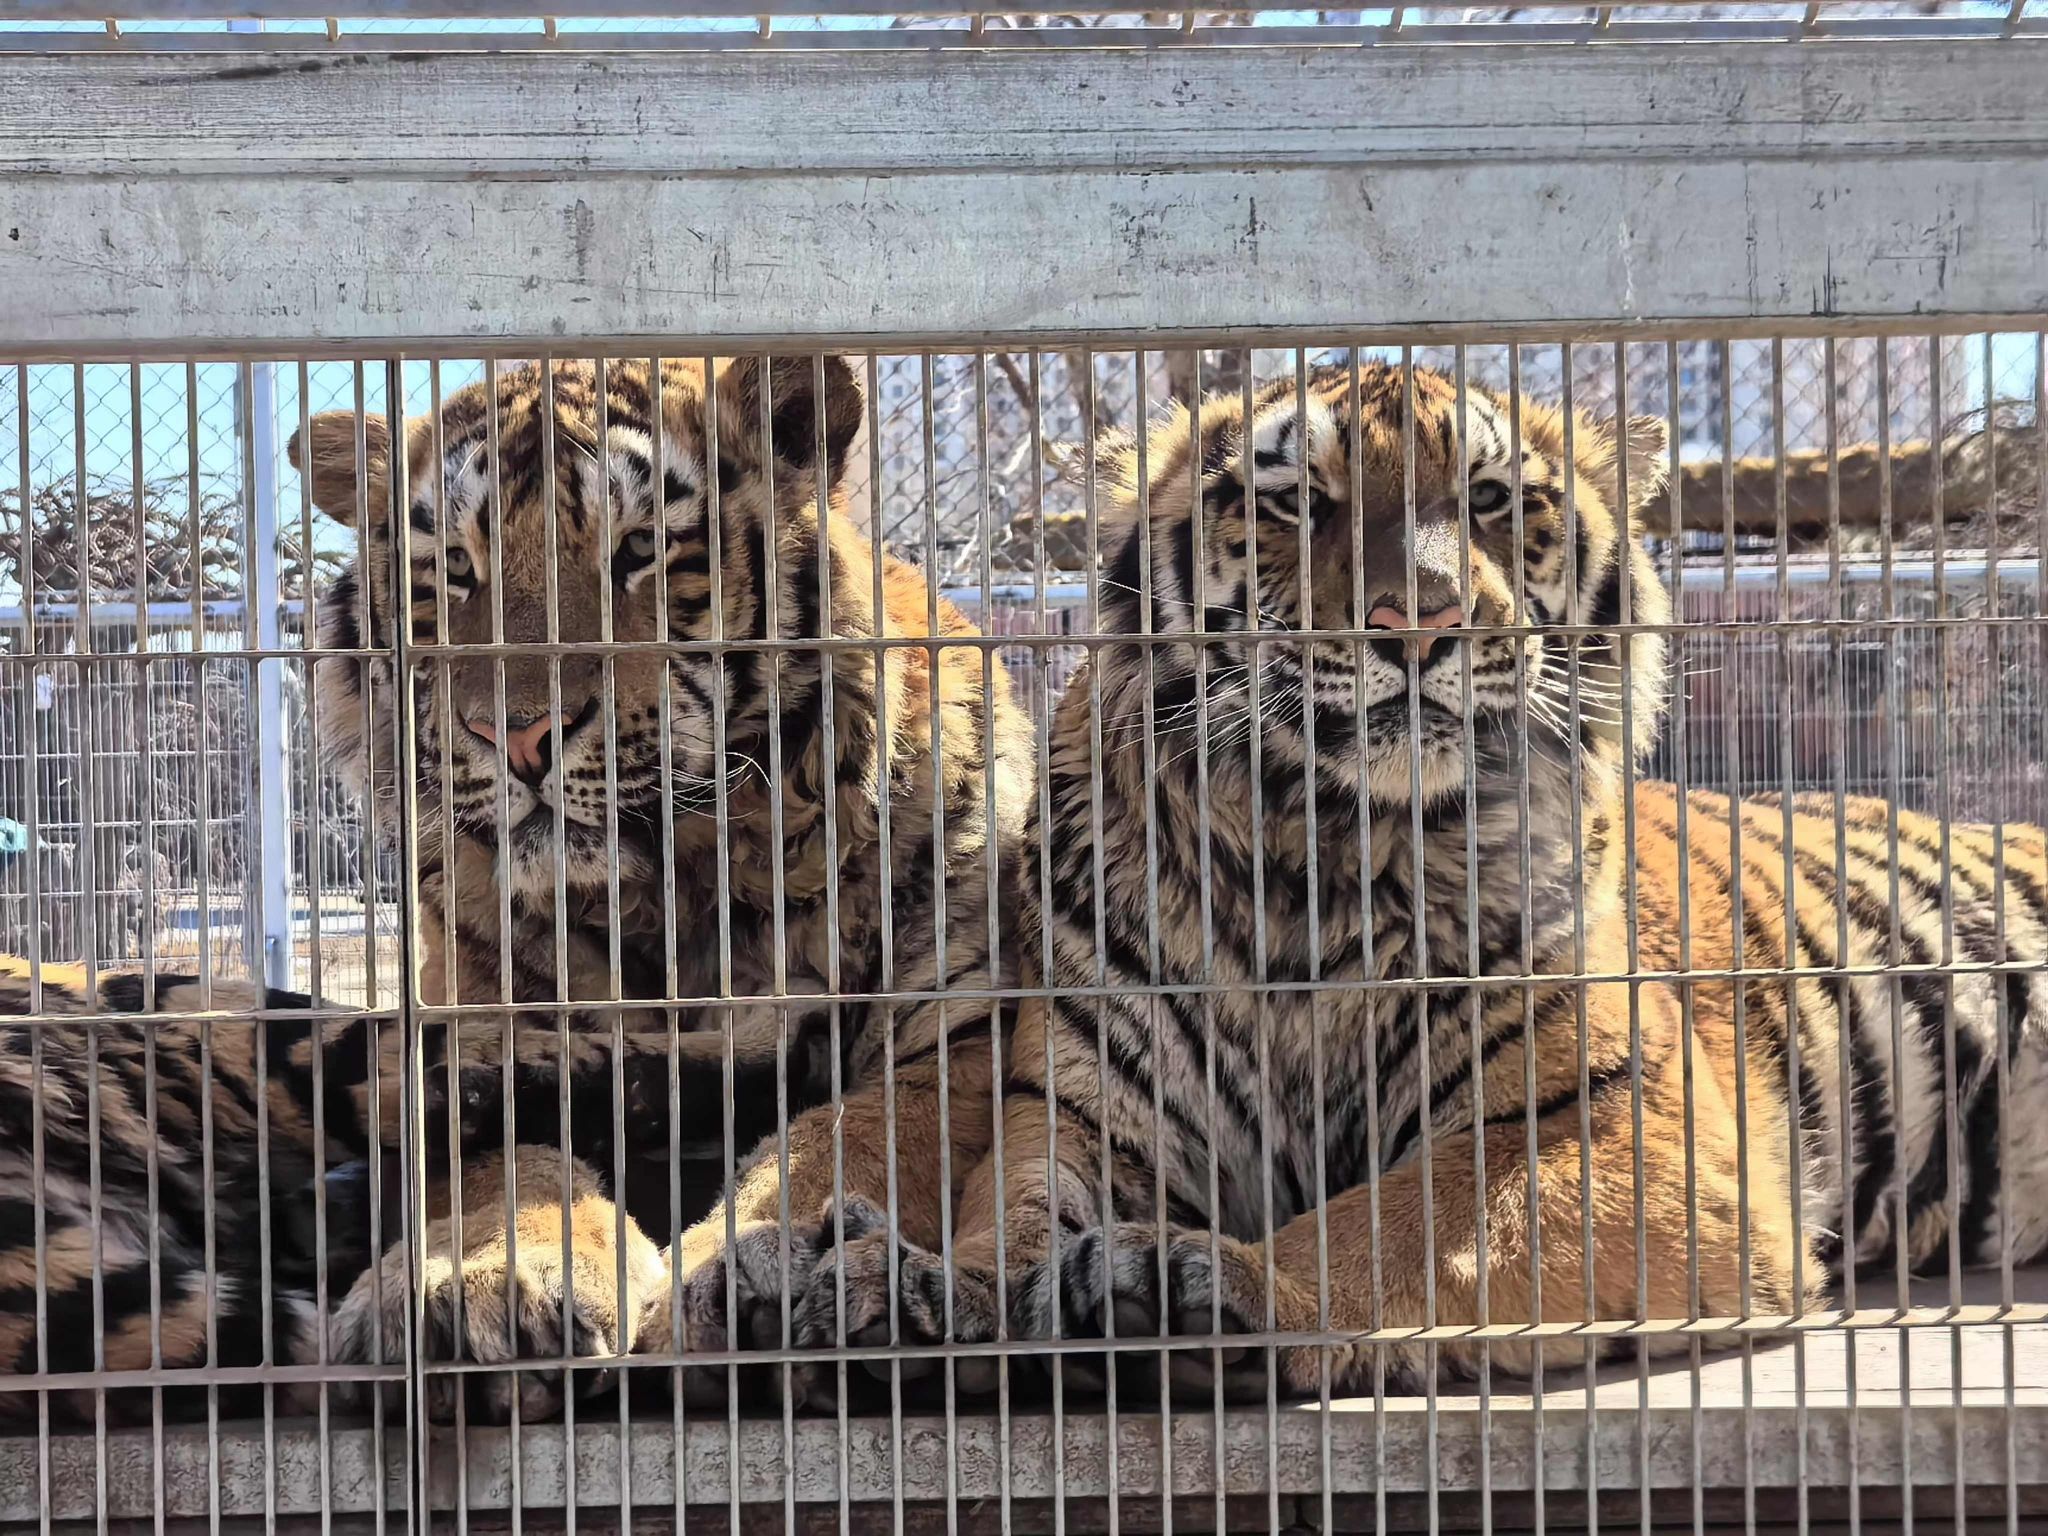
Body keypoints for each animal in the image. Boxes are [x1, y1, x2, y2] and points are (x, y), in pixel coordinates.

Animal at [795, 360, 2048, 1403]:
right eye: (1295, 502)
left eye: (1490, 499)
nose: (1421, 620)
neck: (1315, 862)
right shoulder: (1087, 1110)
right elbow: (1006, 1207)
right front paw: (919, 1293)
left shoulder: (1619, 1124)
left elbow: (1392, 1222)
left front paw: (1202, 1285)